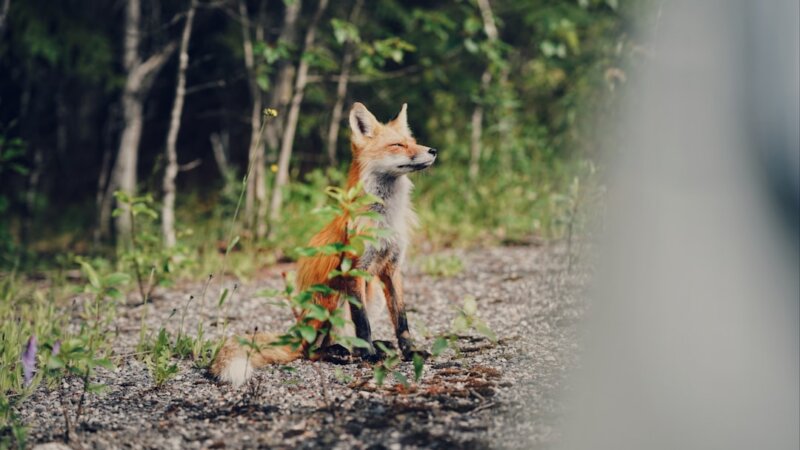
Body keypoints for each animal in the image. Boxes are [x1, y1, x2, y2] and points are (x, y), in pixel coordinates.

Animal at [211, 102, 437, 386]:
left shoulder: (392, 269)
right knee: (312, 350)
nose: (433, 150)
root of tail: (298, 329)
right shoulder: (353, 269)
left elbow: (401, 320)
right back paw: (341, 352)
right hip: (332, 299)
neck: (384, 219)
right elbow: (362, 323)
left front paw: (409, 352)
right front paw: (369, 355)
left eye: (413, 142)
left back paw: (372, 347)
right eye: (397, 145)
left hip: (371, 294)